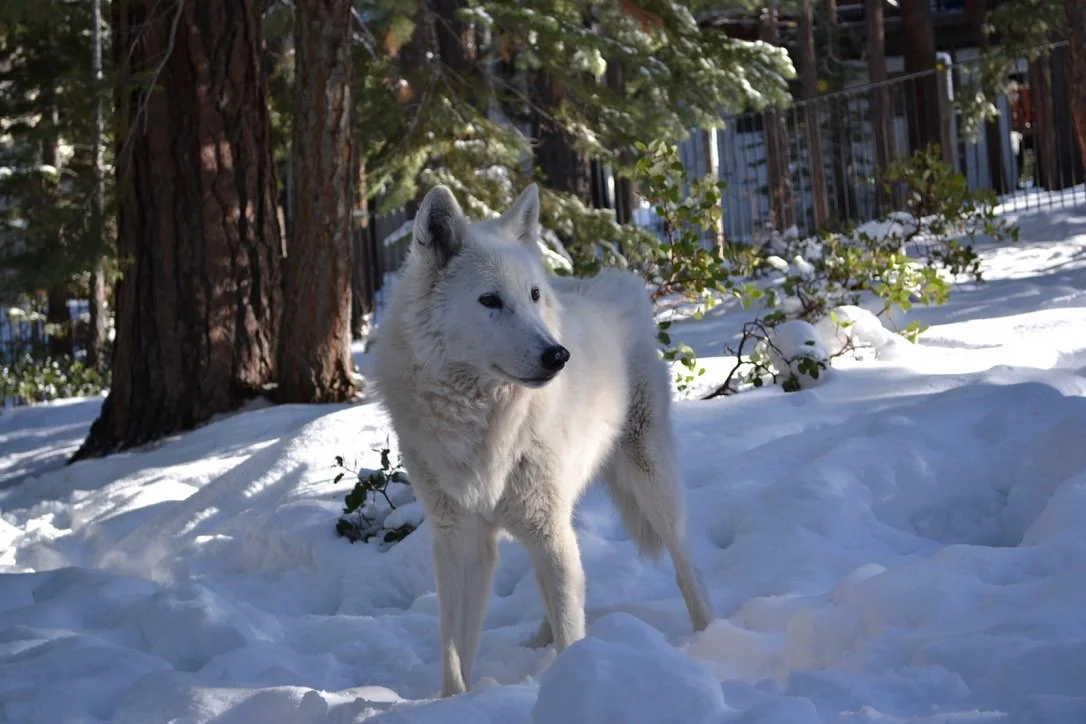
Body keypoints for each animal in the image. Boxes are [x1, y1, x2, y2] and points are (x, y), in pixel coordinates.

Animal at [369, 183, 714, 697]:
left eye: (532, 296)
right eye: (490, 300)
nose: (558, 355)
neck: (483, 422)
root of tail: (612, 282)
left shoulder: (545, 527)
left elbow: (572, 622)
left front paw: (576, 682)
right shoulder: (460, 539)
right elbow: (454, 650)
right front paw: (452, 704)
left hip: (651, 482)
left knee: (685, 565)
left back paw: (711, 637)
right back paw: (537, 644)